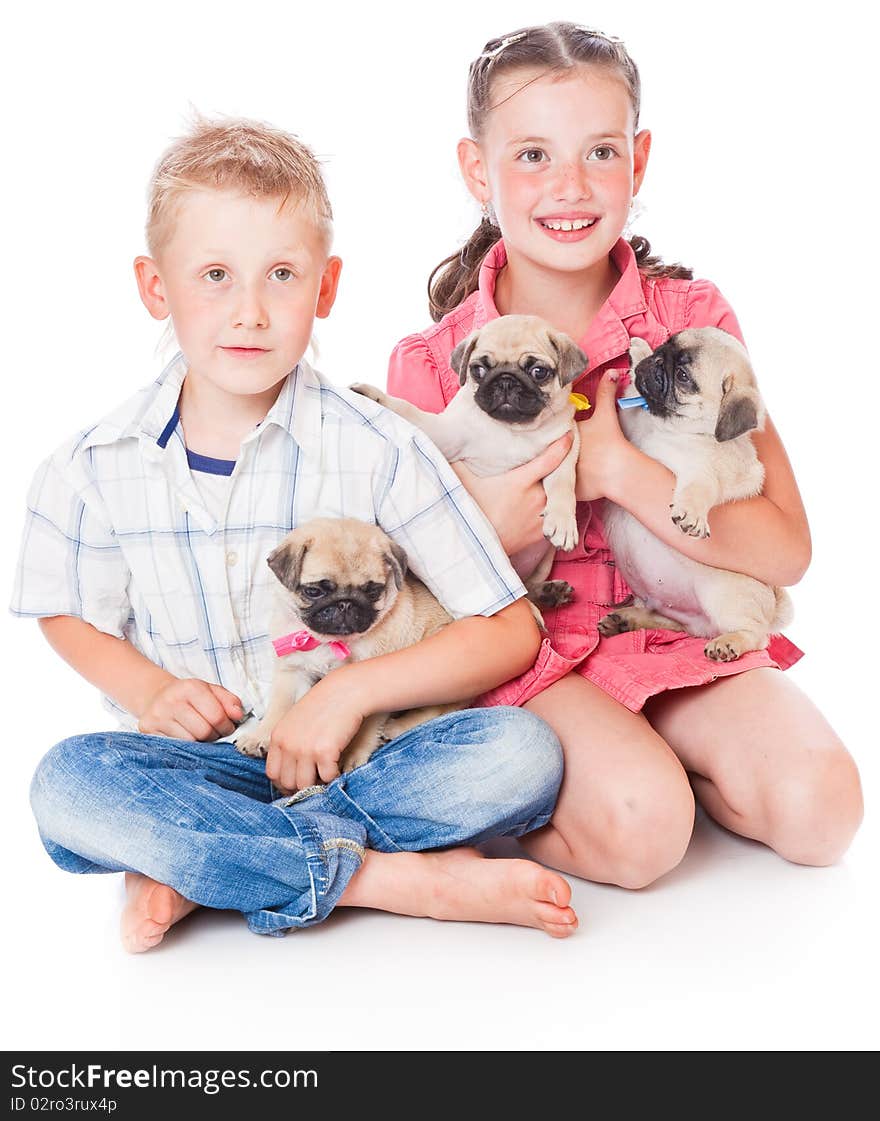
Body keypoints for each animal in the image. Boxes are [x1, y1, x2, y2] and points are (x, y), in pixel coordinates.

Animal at [236, 515, 464, 771]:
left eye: (373, 591)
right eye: (314, 591)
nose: (345, 603)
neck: (330, 642)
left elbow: (364, 727)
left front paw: (352, 753)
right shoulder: (292, 673)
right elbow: (279, 707)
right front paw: (260, 736)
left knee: (443, 707)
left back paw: (397, 727)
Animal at [347, 316, 587, 609]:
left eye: (539, 372)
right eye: (479, 369)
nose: (505, 381)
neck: (509, 430)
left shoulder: (566, 445)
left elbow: (563, 484)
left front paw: (562, 520)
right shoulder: (443, 434)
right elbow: (408, 411)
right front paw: (375, 396)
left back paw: (548, 593)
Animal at [600, 325, 793, 659]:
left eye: (683, 376)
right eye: (665, 344)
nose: (657, 361)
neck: (667, 427)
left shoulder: (704, 472)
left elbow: (698, 489)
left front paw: (691, 515)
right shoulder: (630, 428)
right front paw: (639, 350)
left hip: (724, 598)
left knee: (756, 636)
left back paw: (730, 643)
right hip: (675, 611)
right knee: (672, 622)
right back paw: (627, 619)